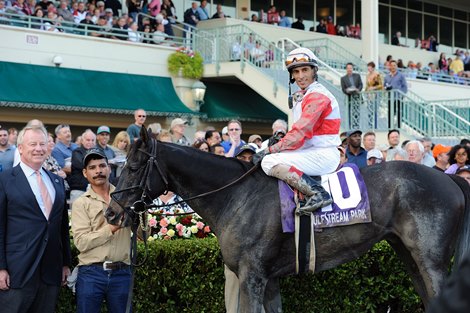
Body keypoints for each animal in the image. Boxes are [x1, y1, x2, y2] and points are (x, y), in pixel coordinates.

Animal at [104, 128, 470, 310]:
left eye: (133, 167)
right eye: (118, 165)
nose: (111, 212)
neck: (237, 195)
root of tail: (449, 178)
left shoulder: (252, 276)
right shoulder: (269, 279)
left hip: (432, 262)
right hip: (409, 256)